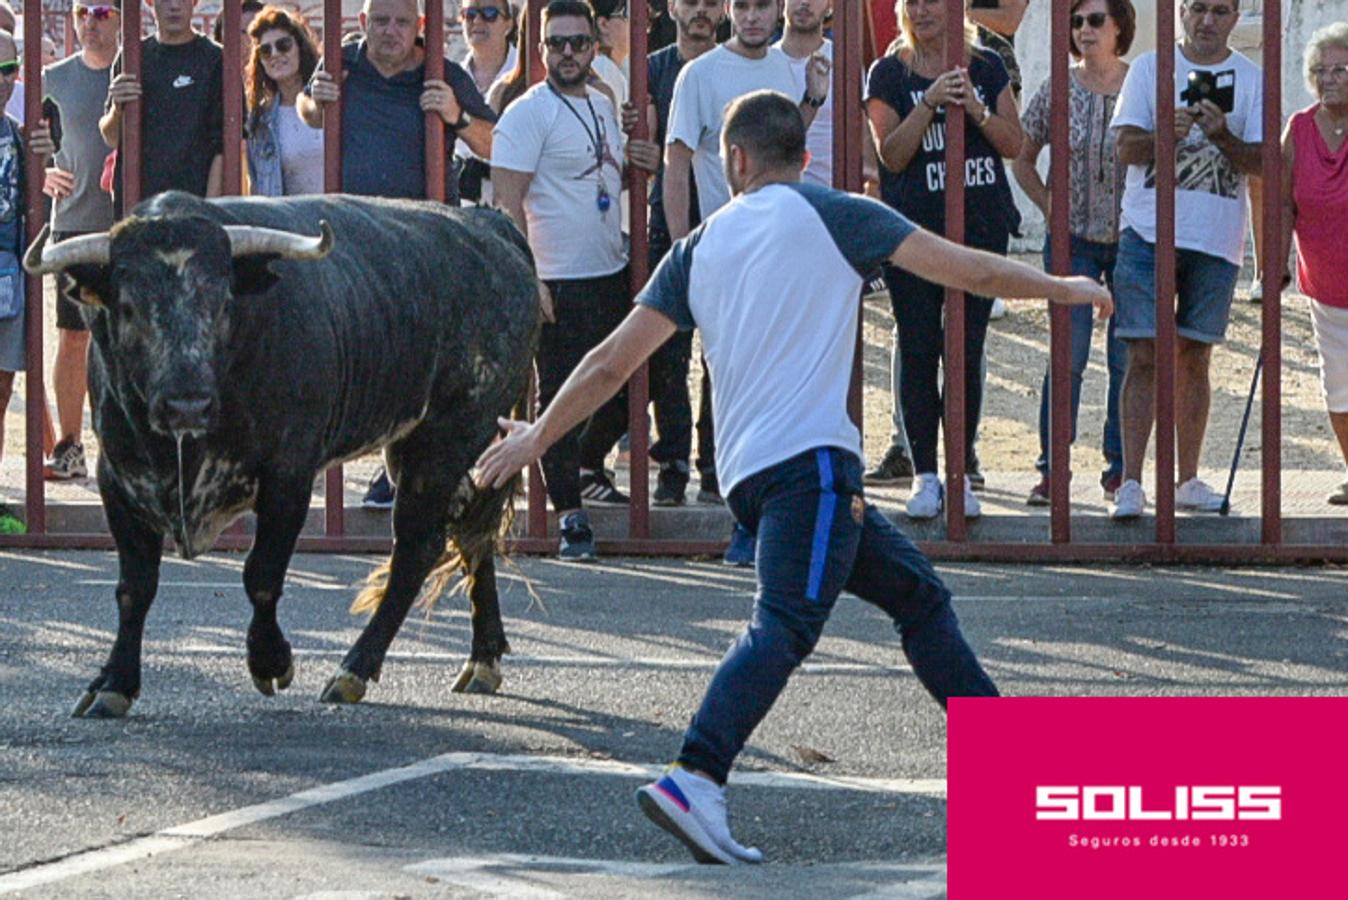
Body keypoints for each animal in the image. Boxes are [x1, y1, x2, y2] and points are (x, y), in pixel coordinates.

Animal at [24, 191, 541, 716]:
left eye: (223, 301)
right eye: (128, 307)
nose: (187, 404)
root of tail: (490, 223)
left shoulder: (288, 476)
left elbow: (262, 574)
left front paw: (270, 661)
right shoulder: (118, 478)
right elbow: (135, 588)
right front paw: (113, 682)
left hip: (446, 440)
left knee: (420, 546)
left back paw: (353, 669)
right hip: (426, 445)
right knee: (470, 532)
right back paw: (482, 659)